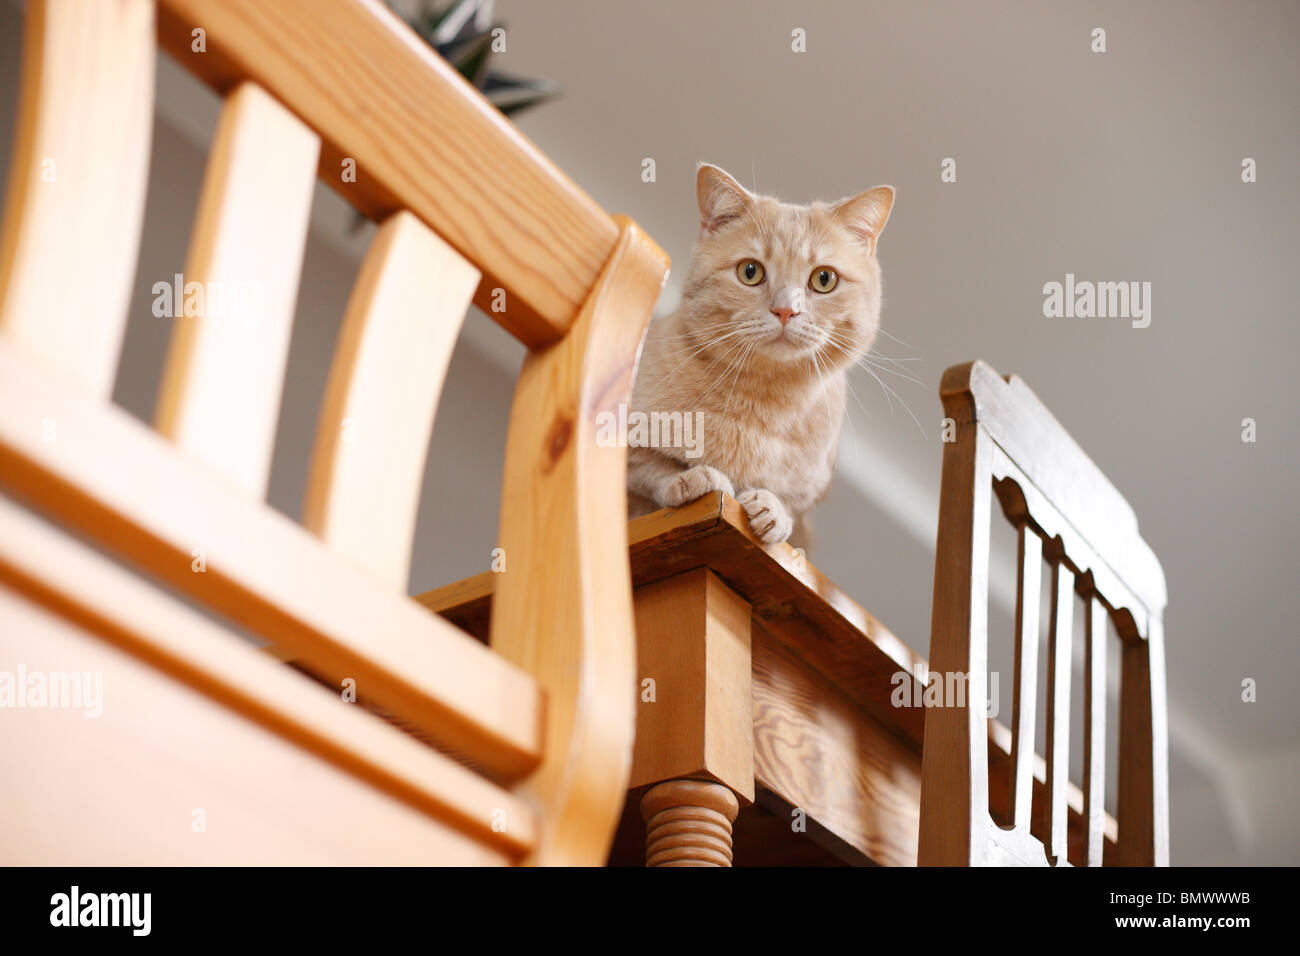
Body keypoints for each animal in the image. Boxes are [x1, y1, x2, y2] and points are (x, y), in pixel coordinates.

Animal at [626, 164, 894, 546]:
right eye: (750, 272)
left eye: (824, 279)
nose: (785, 310)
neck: (762, 400)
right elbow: (651, 467)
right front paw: (694, 478)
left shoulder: (809, 494)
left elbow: (788, 505)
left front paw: (773, 509)